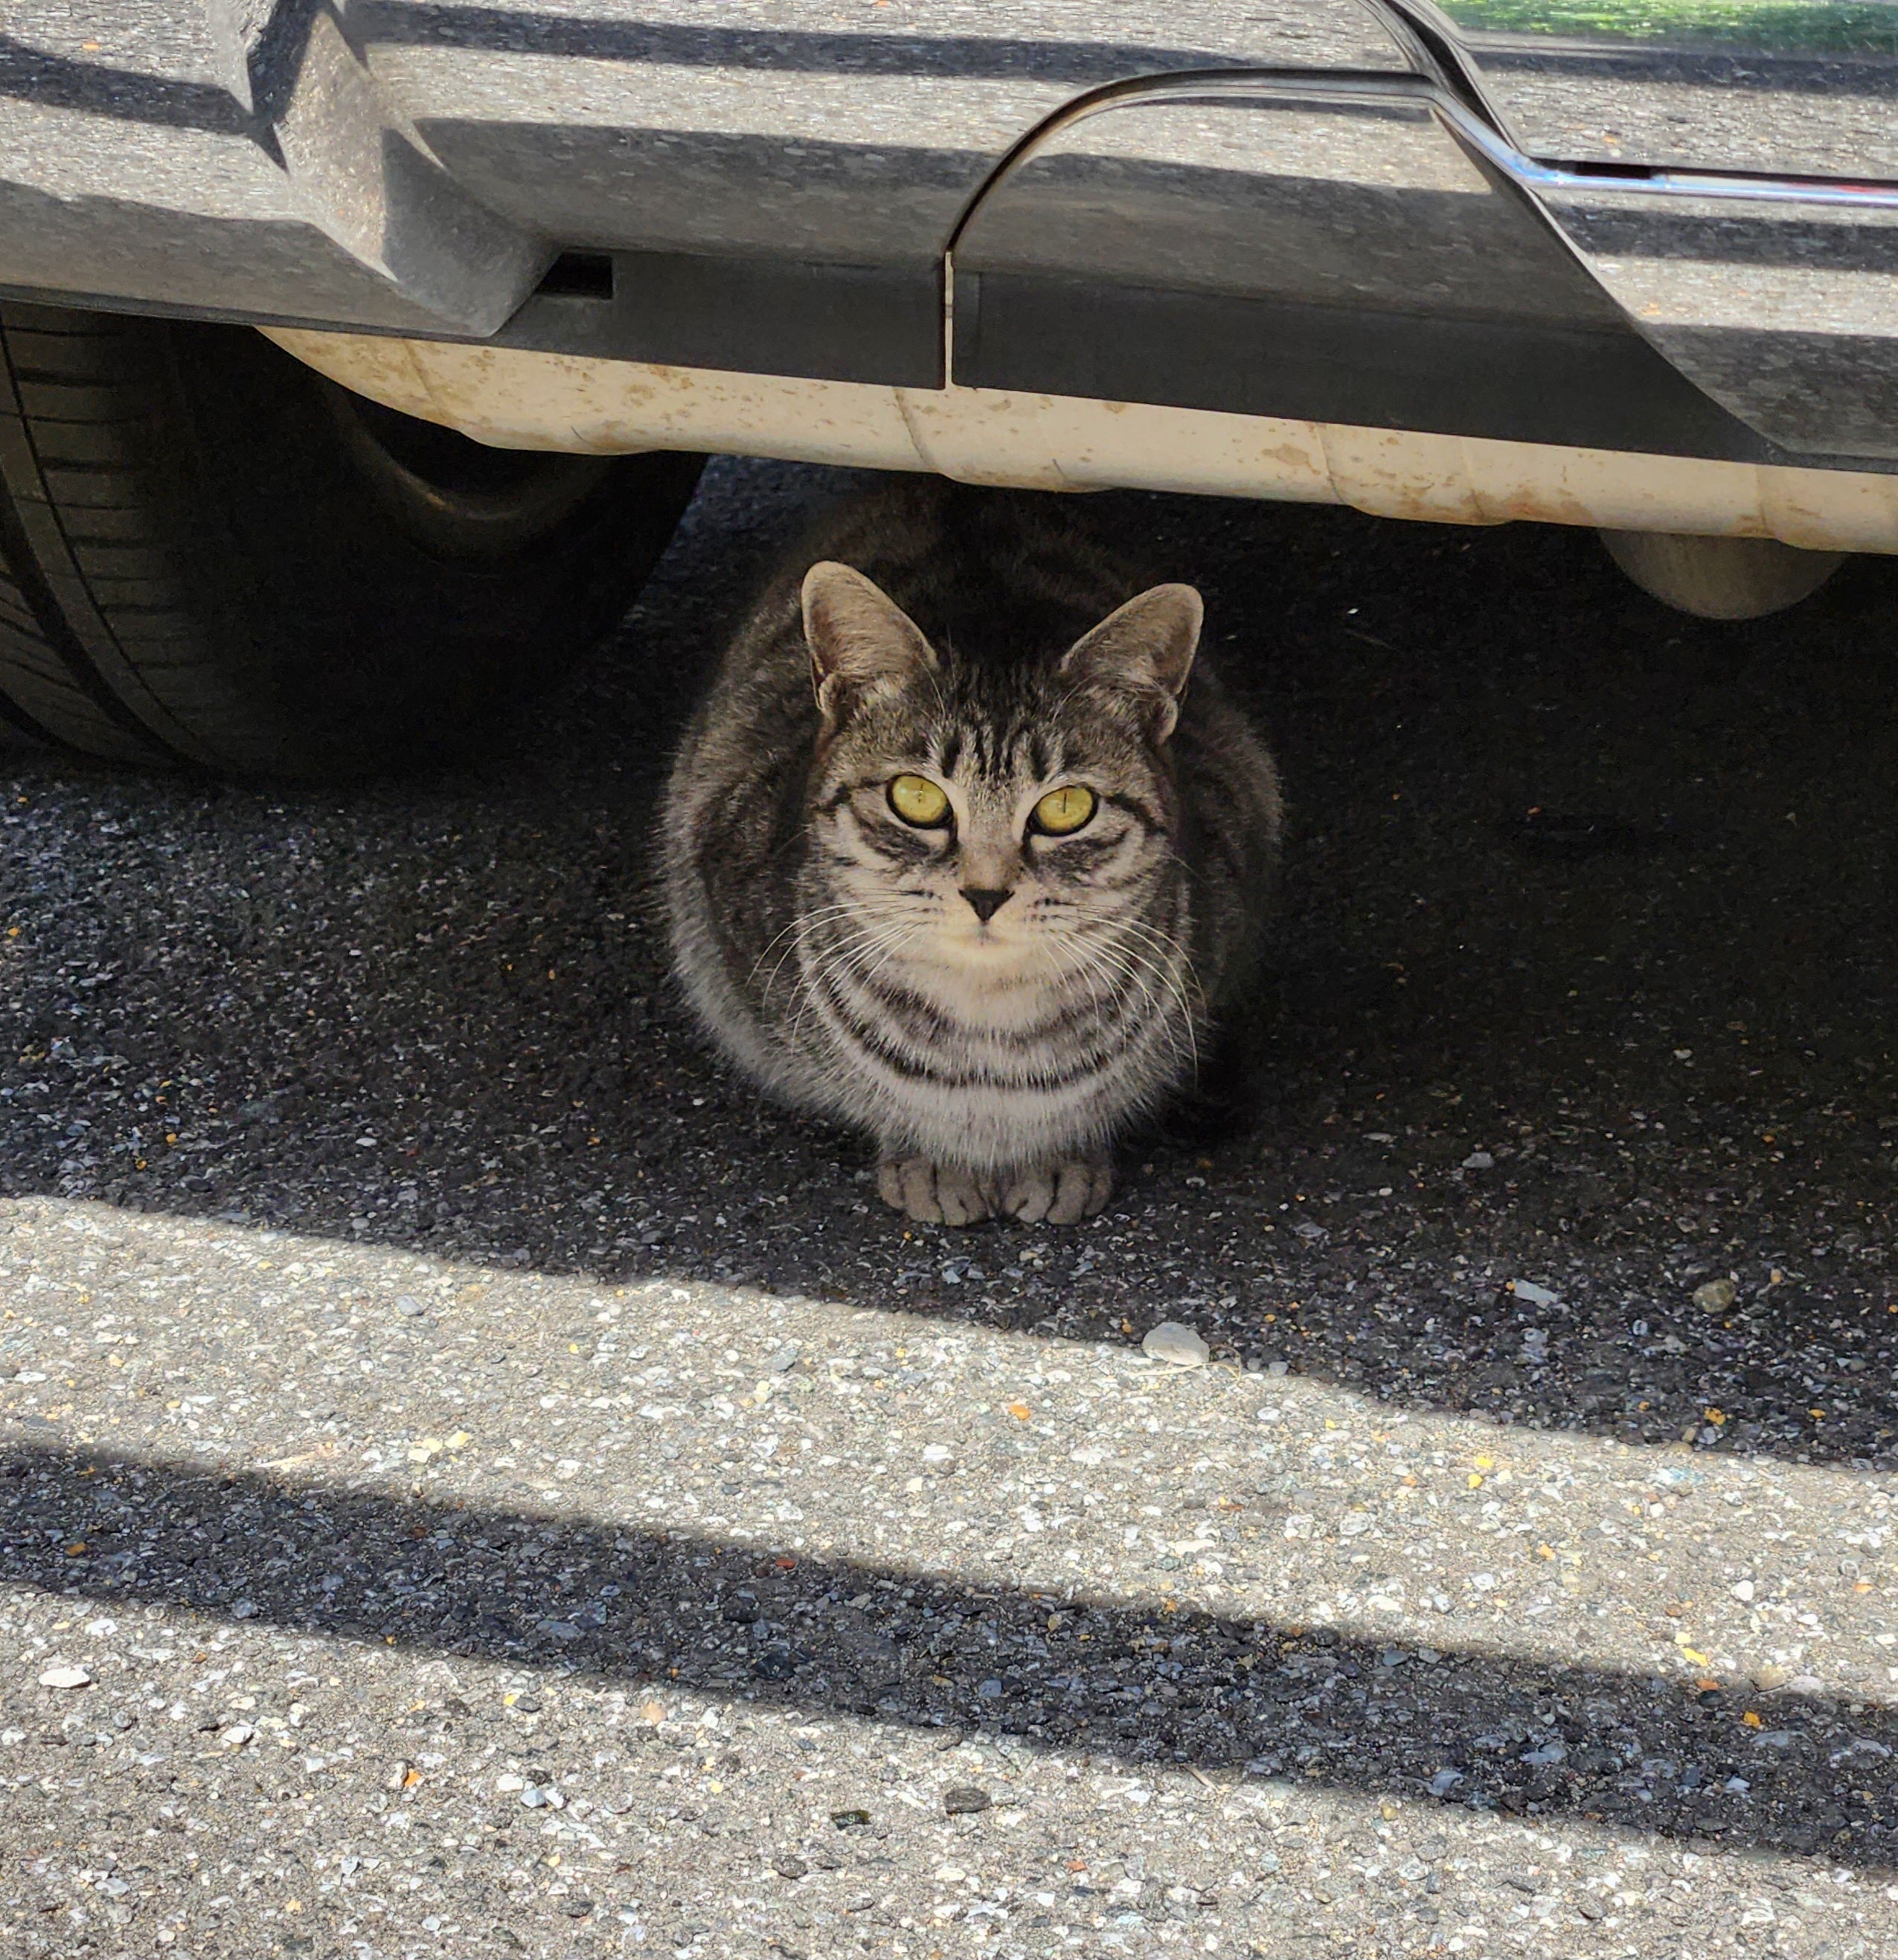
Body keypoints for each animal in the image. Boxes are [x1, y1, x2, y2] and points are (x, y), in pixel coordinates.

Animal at [659, 481, 1281, 1226]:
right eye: (916, 797)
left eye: (1066, 808)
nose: (986, 894)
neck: (991, 1035)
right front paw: (929, 1157)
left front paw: (1061, 1155)